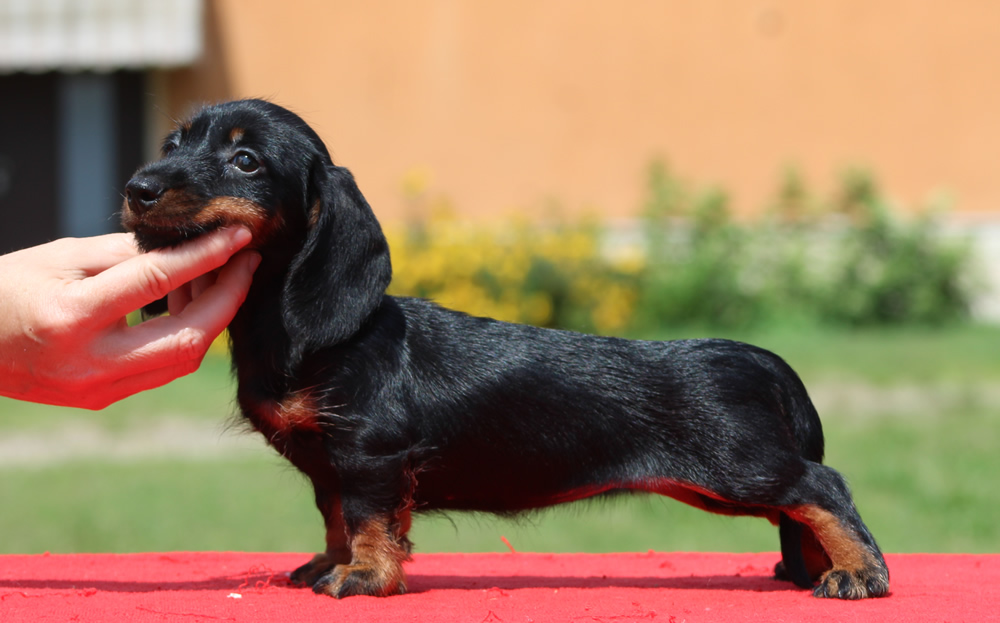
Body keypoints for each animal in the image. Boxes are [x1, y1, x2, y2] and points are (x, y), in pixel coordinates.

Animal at [123, 97, 892, 600]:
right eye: (171, 144)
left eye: (245, 160)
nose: (137, 188)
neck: (298, 328)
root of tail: (759, 357)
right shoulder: (331, 466)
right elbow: (338, 517)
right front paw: (329, 563)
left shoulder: (369, 454)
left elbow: (368, 519)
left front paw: (365, 576)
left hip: (737, 468)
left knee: (821, 486)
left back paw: (858, 572)